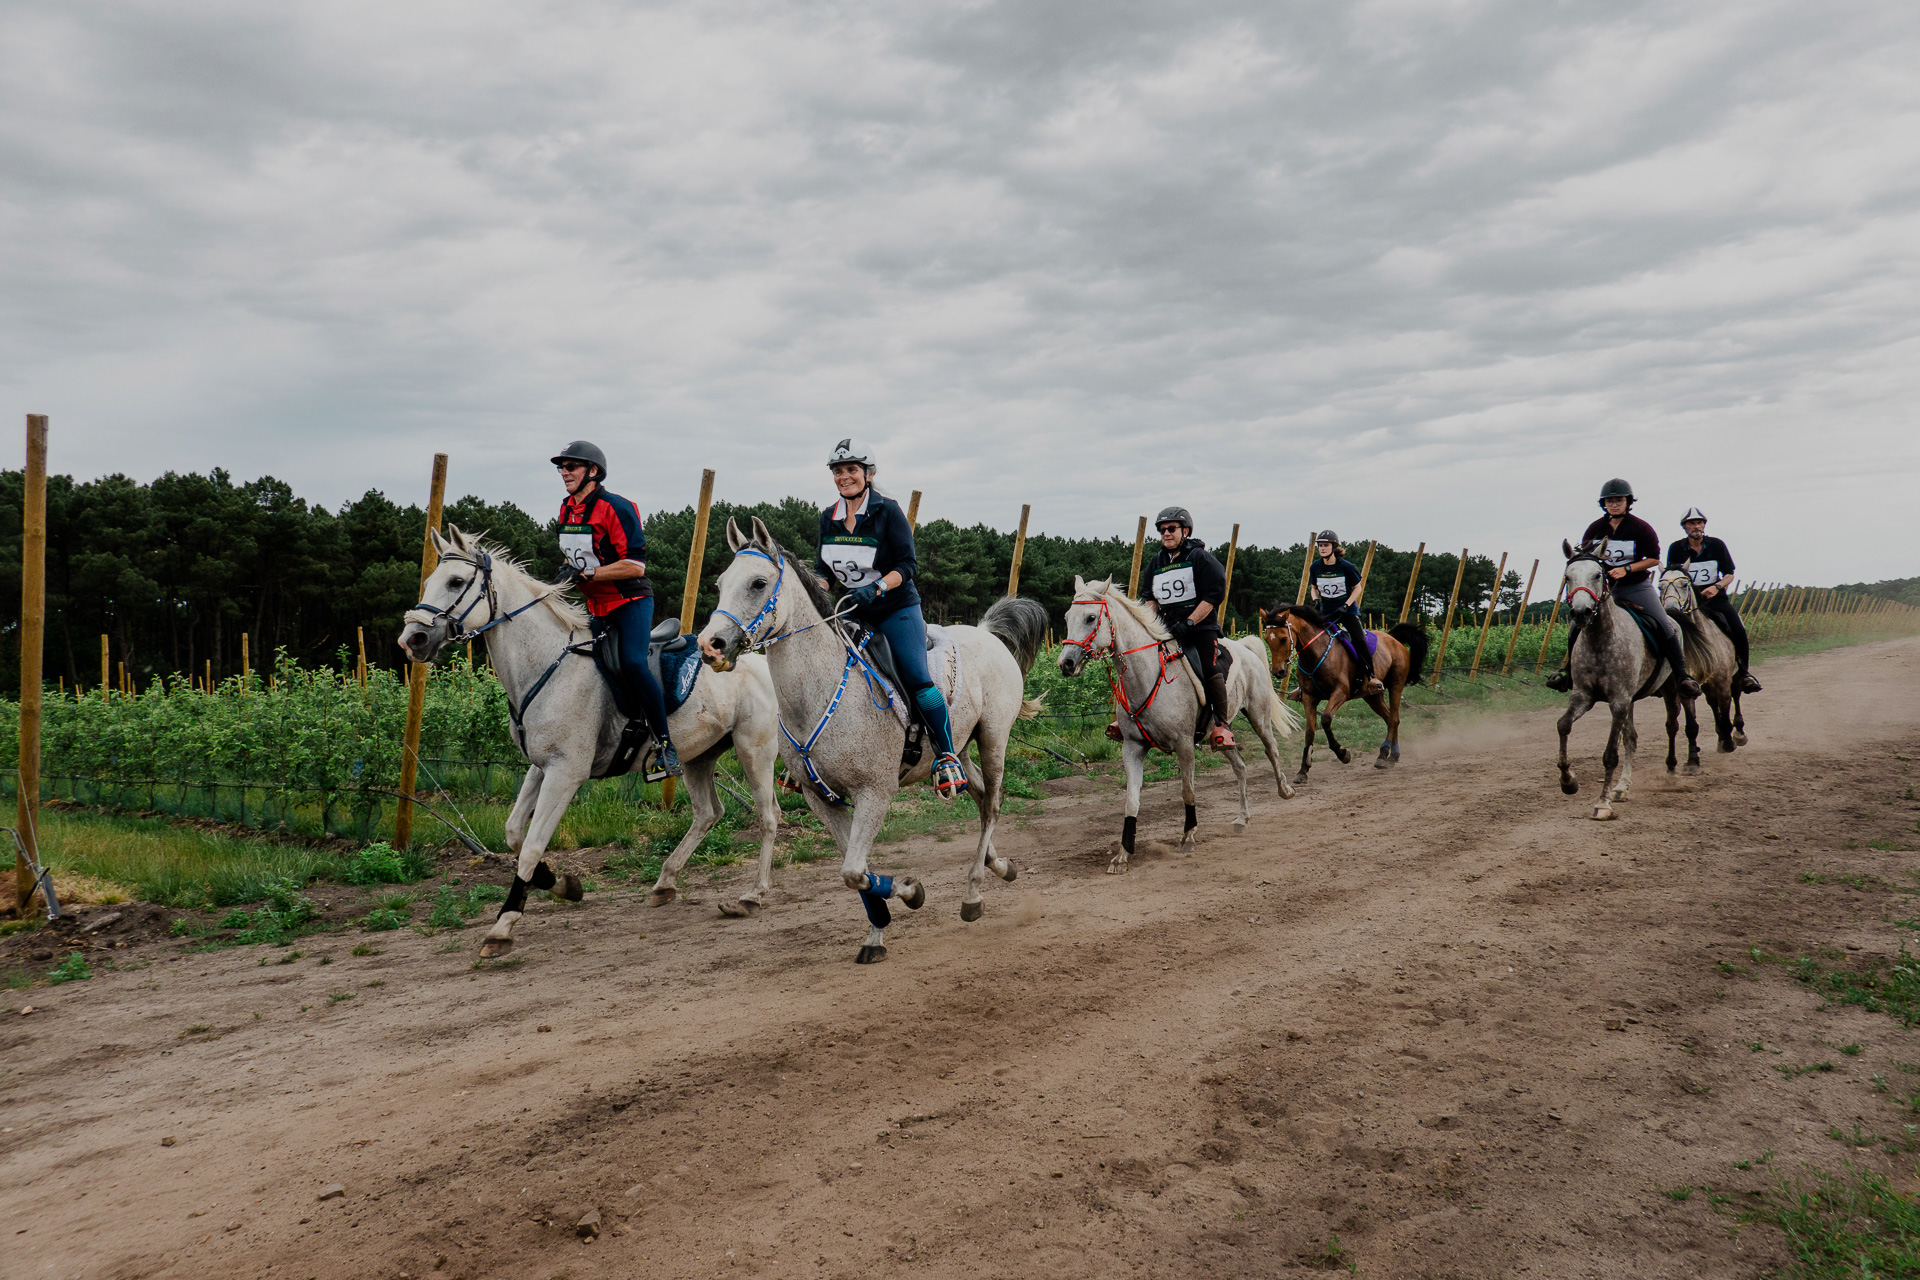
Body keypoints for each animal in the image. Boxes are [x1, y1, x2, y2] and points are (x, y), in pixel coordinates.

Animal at [397, 525, 787, 955]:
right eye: (429, 581)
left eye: (454, 581)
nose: (412, 639)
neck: (549, 663)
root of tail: (760, 659)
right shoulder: (542, 766)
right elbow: (515, 833)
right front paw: (563, 885)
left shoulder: (566, 773)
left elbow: (532, 845)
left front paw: (504, 924)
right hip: (698, 756)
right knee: (708, 813)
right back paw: (665, 882)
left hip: (754, 752)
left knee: (768, 816)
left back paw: (752, 896)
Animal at [698, 514, 1052, 967]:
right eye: (720, 583)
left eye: (758, 583)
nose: (711, 645)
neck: (817, 695)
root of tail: (986, 633)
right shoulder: (822, 799)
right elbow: (857, 872)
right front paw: (878, 930)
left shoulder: (874, 793)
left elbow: (853, 871)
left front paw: (911, 892)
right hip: (958, 746)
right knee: (974, 792)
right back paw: (999, 864)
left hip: (993, 740)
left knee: (991, 804)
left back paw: (974, 892)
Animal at [1059, 575, 1297, 875]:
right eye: (1067, 617)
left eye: (1091, 617)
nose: (1066, 663)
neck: (1146, 674)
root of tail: (1246, 648)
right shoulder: (1132, 747)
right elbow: (1131, 799)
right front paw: (1123, 854)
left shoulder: (1184, 744)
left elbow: (1188, 790)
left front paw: (1188, 836)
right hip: (1221, 734)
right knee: (1240, 766)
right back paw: (1242, 818)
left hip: (1259, 716)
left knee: (1272, 749)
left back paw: (1285, 790)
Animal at [1259, 610, 1428, 782]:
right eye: (1266, 639)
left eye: (1284, 638)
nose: (1278, 671)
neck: (1315, 654)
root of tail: (1392, 638)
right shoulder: (1309, 697)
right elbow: (1310, 731)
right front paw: (1303, 770)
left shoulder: (1340, 691)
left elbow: (1326, 719)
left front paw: (1342, 754)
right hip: (1372, 696)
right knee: (1390, 718)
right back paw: (1391, 754)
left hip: (1396, 685)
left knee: (1393, 718)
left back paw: (1386, 755)